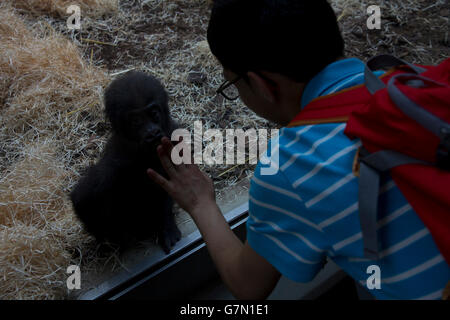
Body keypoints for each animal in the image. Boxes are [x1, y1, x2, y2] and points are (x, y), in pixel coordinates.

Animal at [70, 71, 181, 254]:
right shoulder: (114, 161)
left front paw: (166, 226)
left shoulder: (175, 134)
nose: (152, 133)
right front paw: (109, 243)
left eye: (154, 113)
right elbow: (84, 197)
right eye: (136, 121)